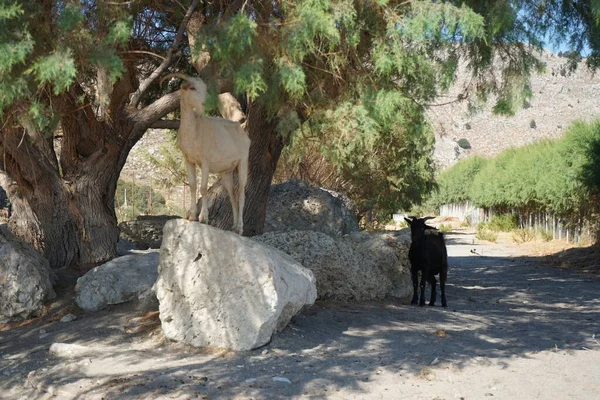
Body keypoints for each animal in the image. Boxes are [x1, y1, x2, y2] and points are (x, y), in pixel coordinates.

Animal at [161, 73, 250, 233]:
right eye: (192, 88)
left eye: (205, 88)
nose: (207, 103)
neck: (194, 130)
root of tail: (243, 132)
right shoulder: (189, 161)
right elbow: (192, 186)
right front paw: (192, 217)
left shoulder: (205, 162)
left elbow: (203, 189)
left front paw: (204, 218)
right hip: (226, 172)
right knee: (233, 195)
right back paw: (233, 227)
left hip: (243, 163)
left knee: (241, 193)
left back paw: (240, 228)